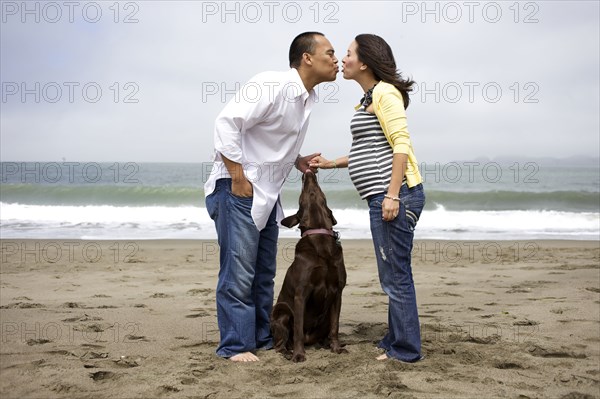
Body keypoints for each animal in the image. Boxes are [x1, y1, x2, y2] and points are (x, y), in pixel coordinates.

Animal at [270, 170, 346, 364]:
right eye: (302, 195)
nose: (307, 172)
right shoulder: (301, 293)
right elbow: (297, 328)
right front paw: (299, 354)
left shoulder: (338, 291)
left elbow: (335, 325)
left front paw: (336, 348)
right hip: (281, 310)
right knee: (280, 344)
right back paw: (288, 352)